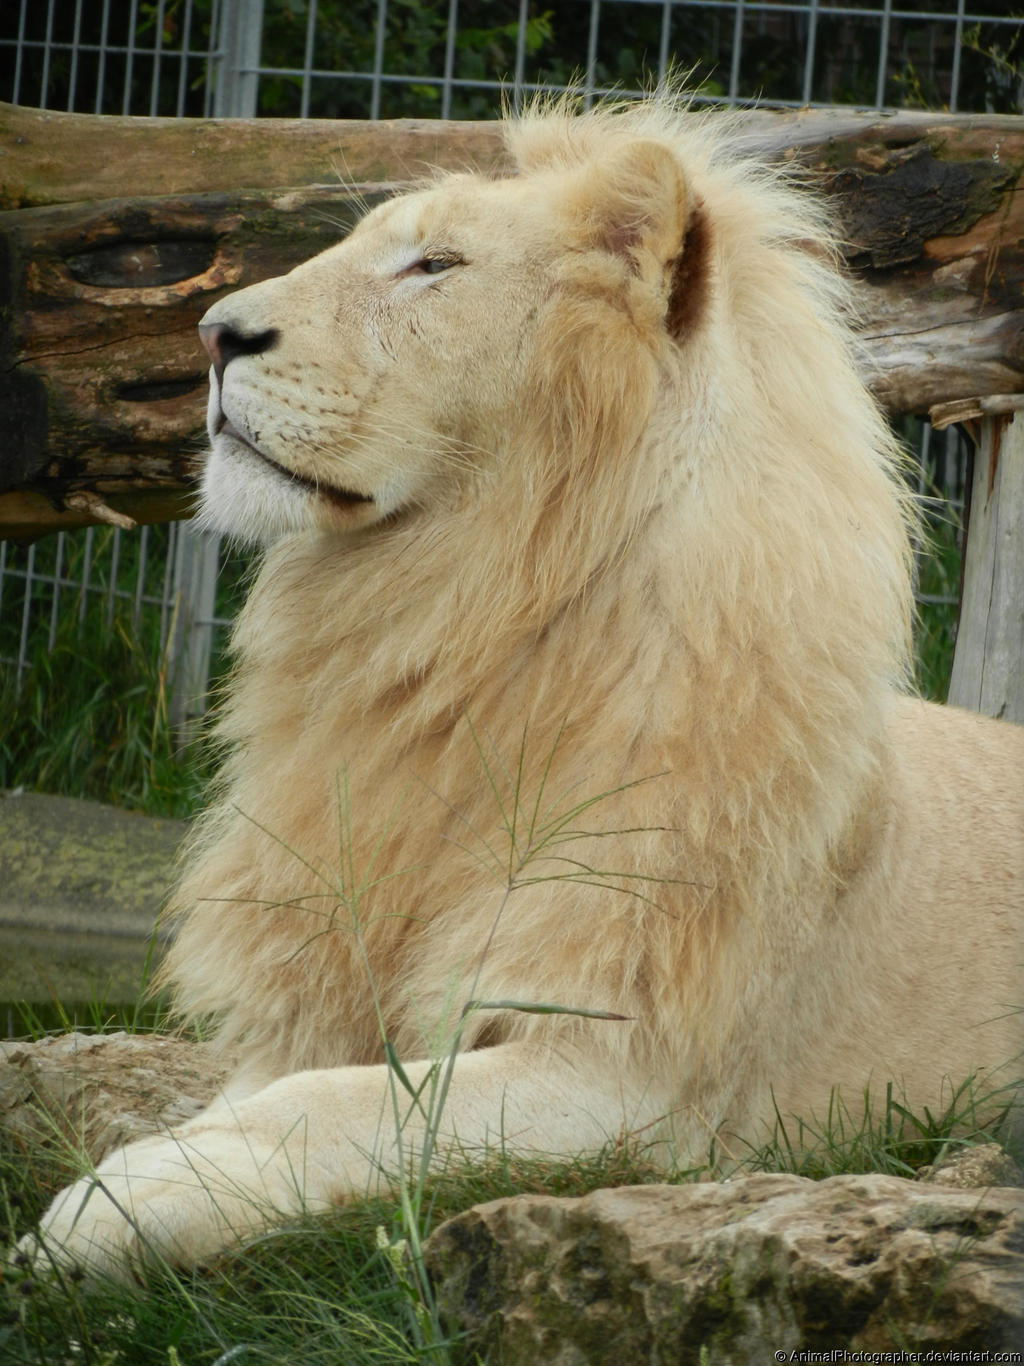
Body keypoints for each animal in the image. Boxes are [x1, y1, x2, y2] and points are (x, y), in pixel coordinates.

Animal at [26, 93, 1024, 1267]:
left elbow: (346, 1101)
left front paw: (123, 1197)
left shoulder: (627, 1078)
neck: (459, 623)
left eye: (434, 265)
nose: (212, 334)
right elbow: (273, 1086)